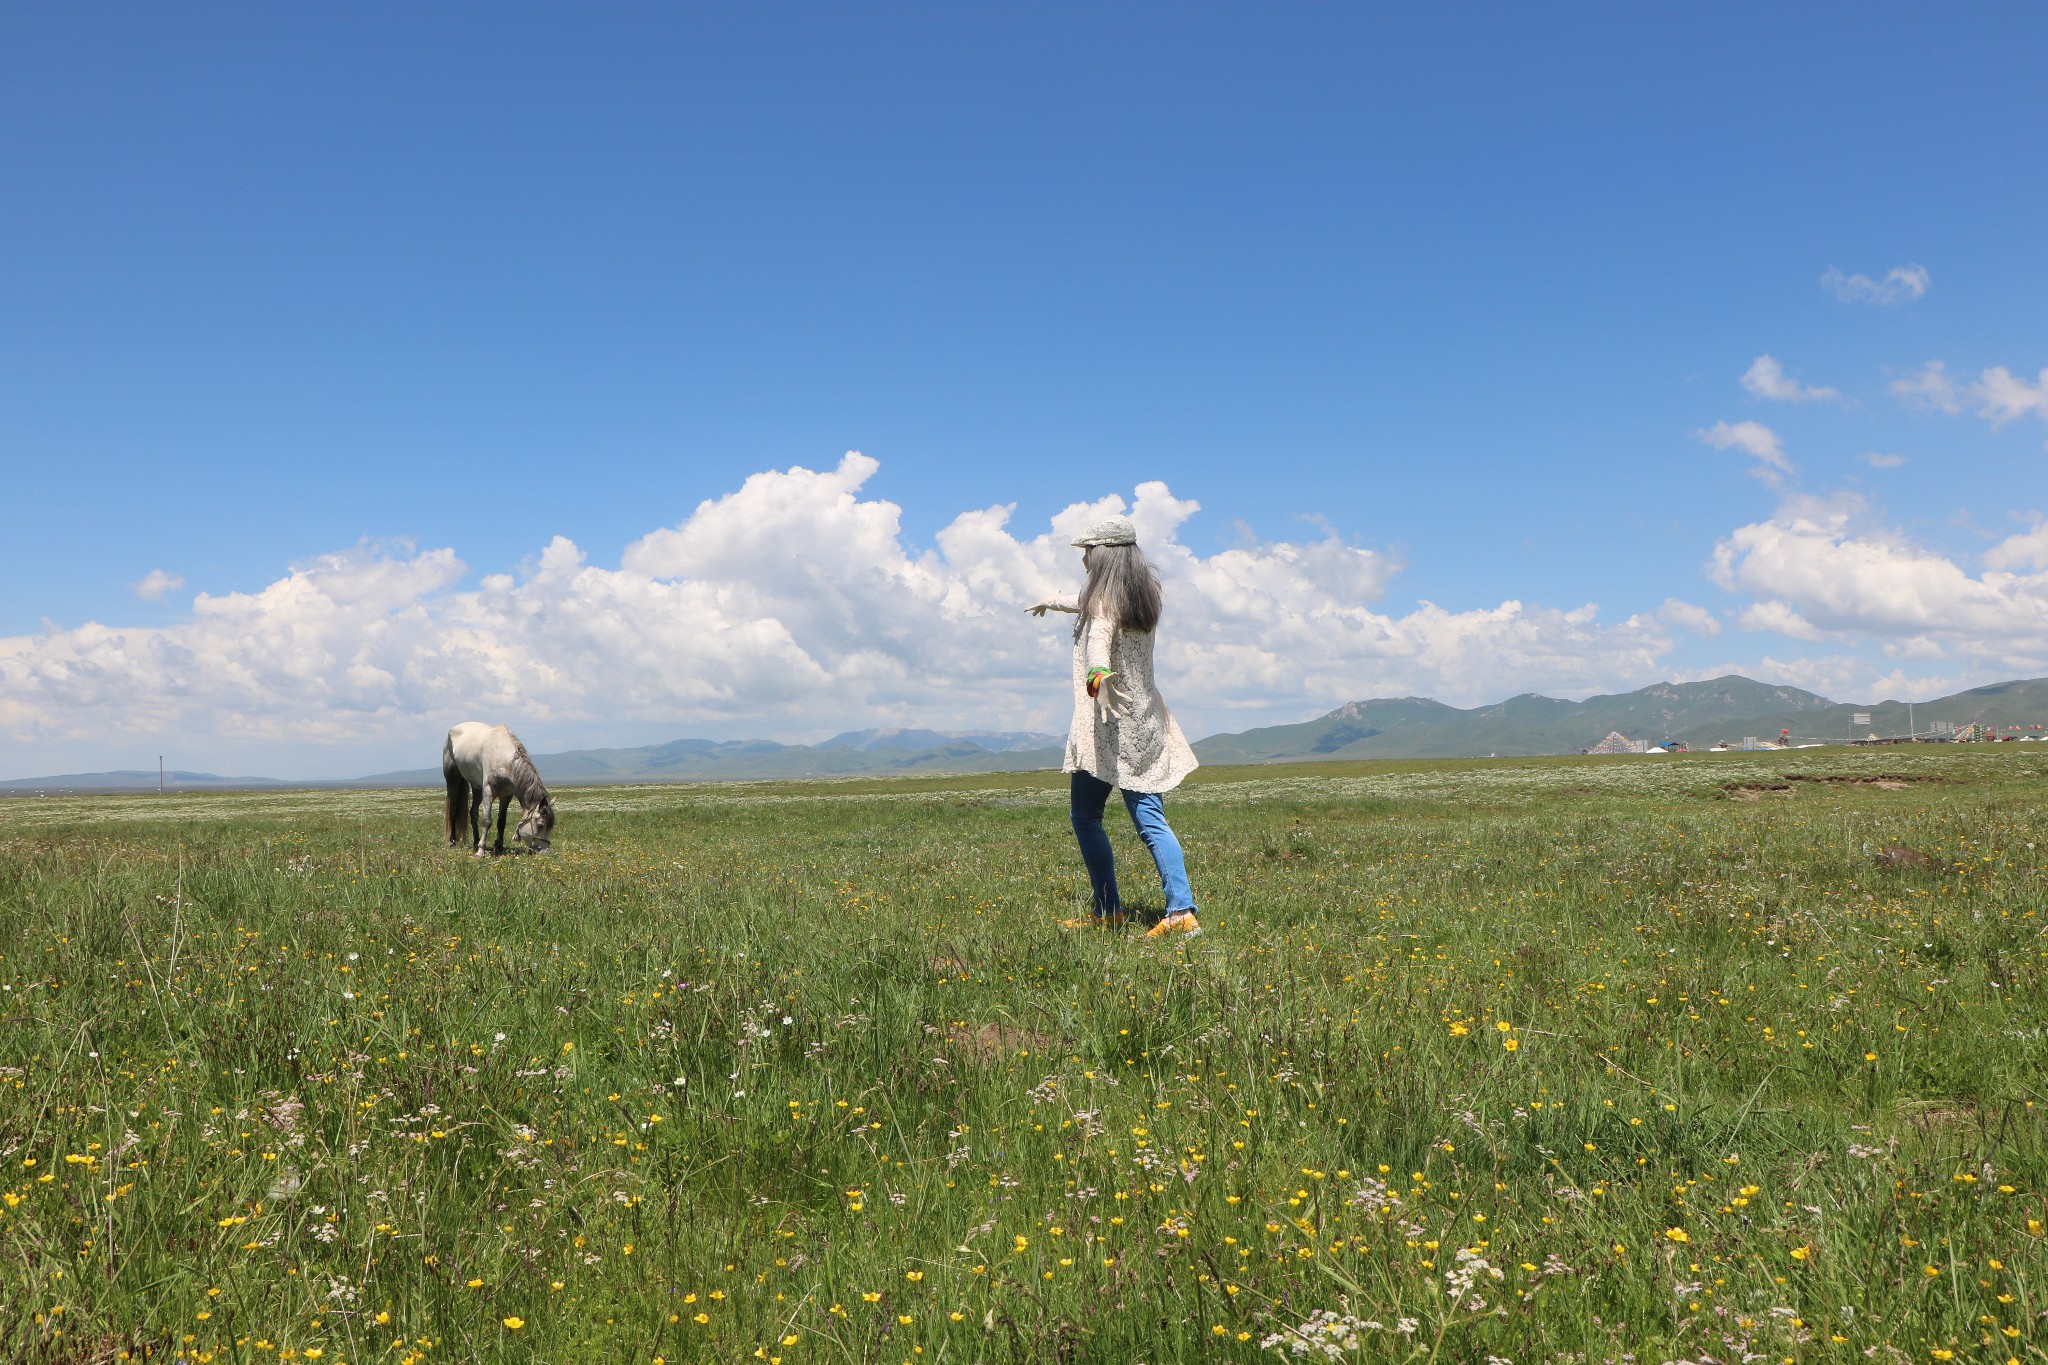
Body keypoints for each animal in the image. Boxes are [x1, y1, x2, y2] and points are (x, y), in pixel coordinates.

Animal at [438, 724, 552, 855]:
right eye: (540, 825)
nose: (546, 852)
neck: (502, 758)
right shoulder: (488, 792)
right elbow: (487, 821)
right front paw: (481, 851)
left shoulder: (506, 795)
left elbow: (501, 821)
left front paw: (499, 847)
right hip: (453, 780)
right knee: (453, 811)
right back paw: (453, 842)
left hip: (477, 788)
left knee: (473, 813)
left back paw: (475, 842)